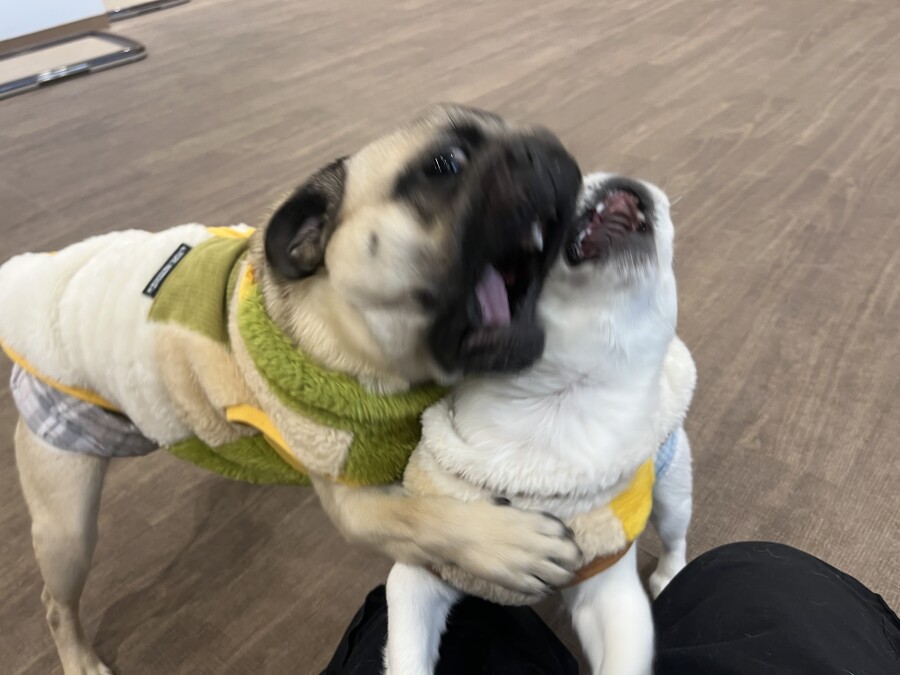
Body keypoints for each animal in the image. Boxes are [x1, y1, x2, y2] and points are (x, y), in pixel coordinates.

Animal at [0, 104, 586, 675]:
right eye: (445, 165)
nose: (546, 145)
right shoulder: (356, 501)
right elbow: (422, 516)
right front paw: (509, 542)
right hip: (67, 522)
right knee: (57, 605)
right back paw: (80, 661)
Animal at [384, 172, 696, 675]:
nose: (626, 178)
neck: (555, 401)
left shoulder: (610, 595)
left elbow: (624, 658)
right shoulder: (418, 578)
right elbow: (407, 654)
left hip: (671, 486)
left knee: (674, 533)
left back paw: (670, 574)